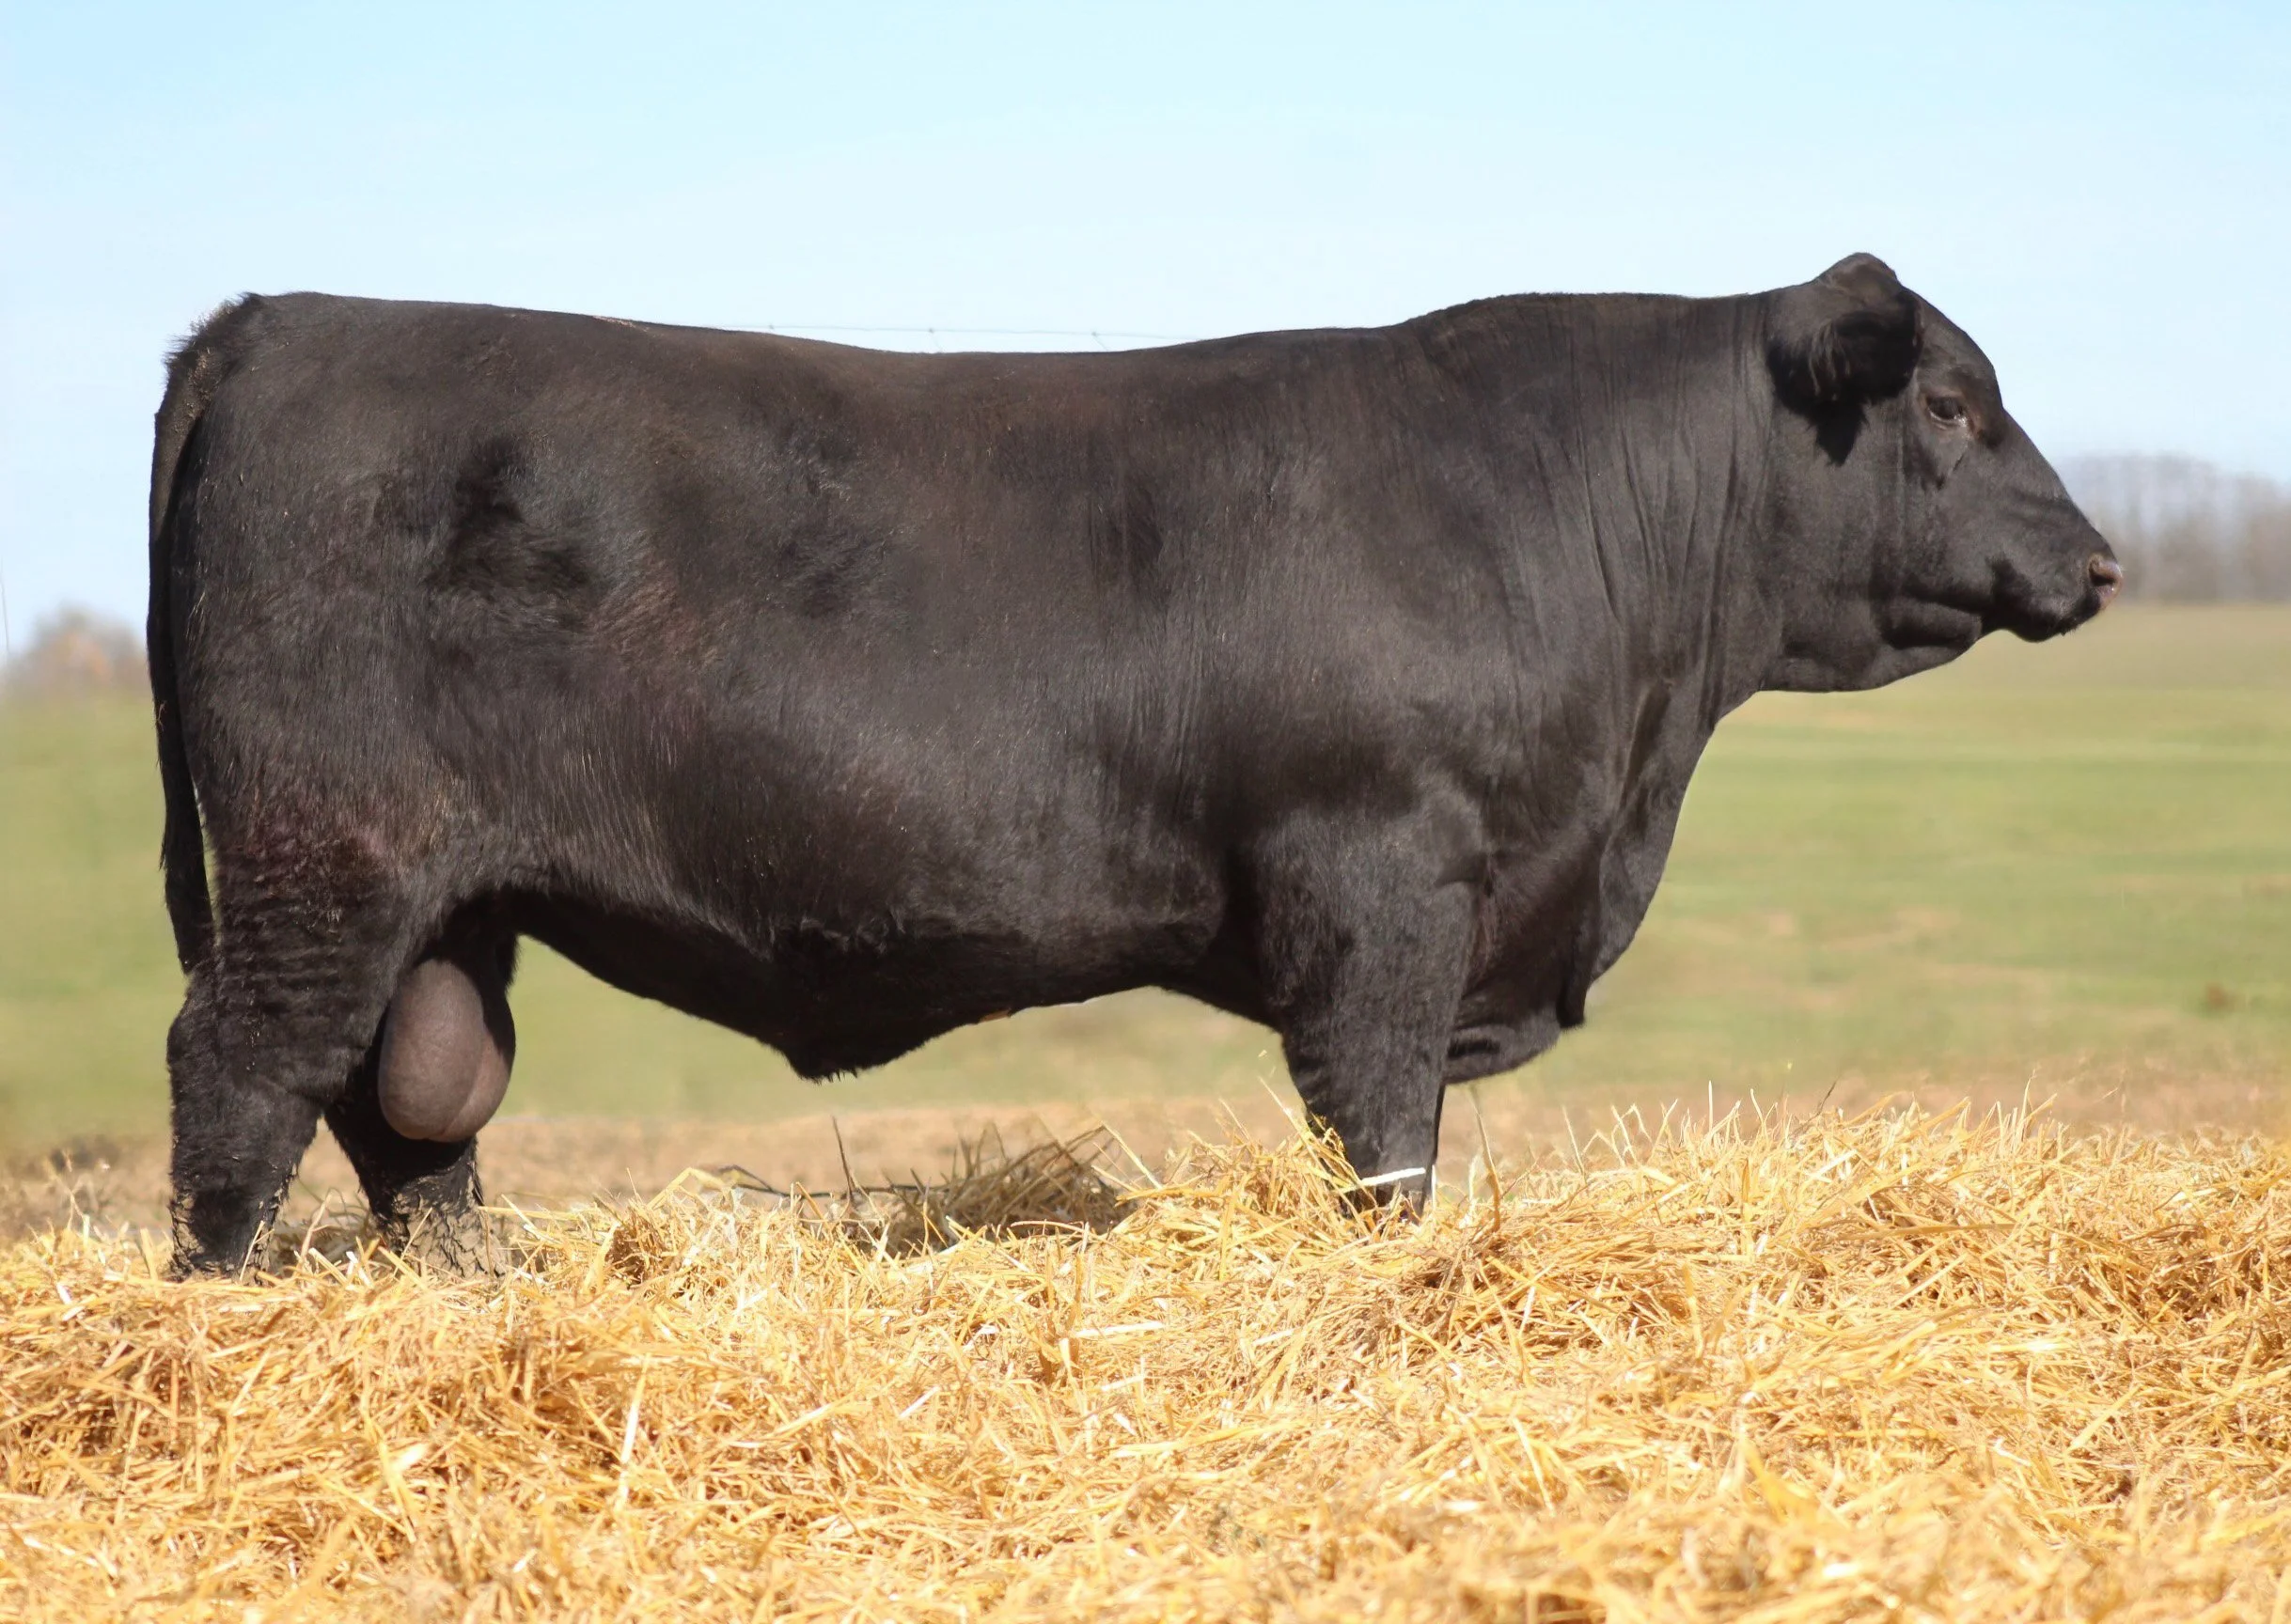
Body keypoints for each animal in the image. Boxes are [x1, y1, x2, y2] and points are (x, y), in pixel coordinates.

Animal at [146, 254, 2119, 1274]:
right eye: (1951, 402)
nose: (2100, 562)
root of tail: (284, 314)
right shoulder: (1386, 880)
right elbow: (1383, 1133)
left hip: (430, 896)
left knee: (411, 1102)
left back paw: (476, 1288)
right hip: (319, 857)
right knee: (247, 1071)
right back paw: (214, 1303)